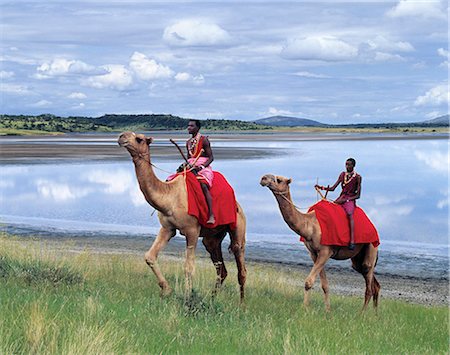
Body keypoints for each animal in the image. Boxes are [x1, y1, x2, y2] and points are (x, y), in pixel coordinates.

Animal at [118, 132, 248, 302]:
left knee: (241, 267)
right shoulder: (167, 228)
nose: (121, 137)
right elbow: (149, 256)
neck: (170, 196)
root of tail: (239, 206)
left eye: (139, 138)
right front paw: (166, 289)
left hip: (238, 227)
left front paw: (187, 297)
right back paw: (212, 298)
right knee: (221, 268)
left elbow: (188, 267)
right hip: (212, 238)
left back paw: (242, 304)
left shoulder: (192, 230)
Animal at [260, 175, 380, 312]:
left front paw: (305, 309)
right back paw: (375, 314)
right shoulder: (314, 253)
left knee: (368, 283)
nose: (263, 178)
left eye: (279, 180)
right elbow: (324, 285)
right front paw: (327, 310)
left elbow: (308, 282)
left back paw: (362, 314)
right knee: (374, 284)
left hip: (371, 247)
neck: (309, 225)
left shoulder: (325, 251)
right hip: (357, 259)